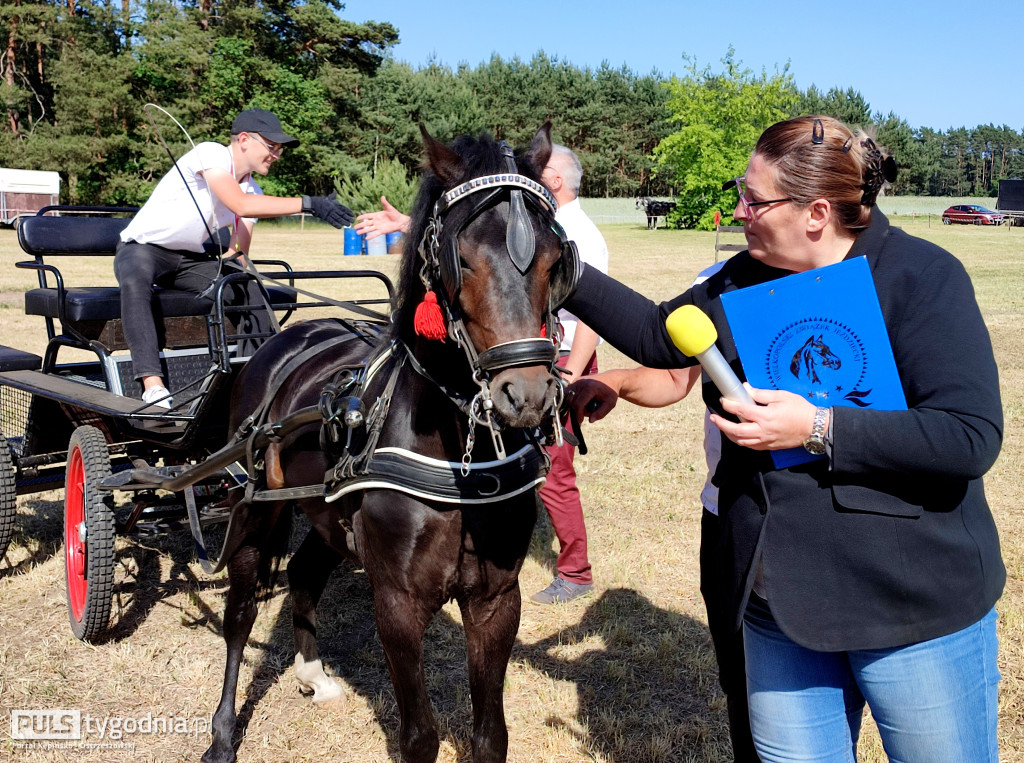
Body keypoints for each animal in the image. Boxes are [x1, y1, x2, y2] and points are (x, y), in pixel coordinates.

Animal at [199, 121, 577, 757]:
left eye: (555, 260)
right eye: (461, 260)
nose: (524, 394)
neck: (456, 459)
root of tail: (288, 338)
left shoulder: (497, 599)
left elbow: (490, 736)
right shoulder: (396, 603)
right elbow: (420, 736)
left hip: (325, 512)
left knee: (304, 571)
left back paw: (313, 675)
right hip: (254, 508)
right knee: (240, 613)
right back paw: (224, 732)